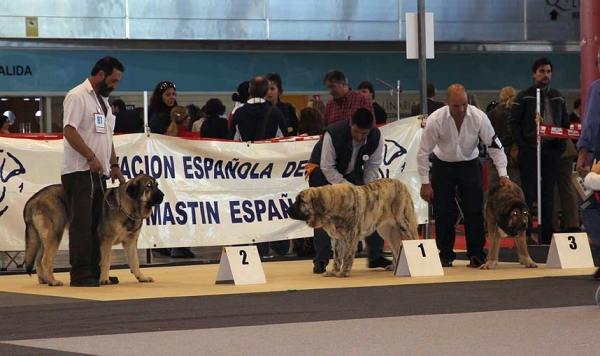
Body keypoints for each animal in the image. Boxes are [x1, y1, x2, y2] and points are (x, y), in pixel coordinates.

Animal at [23, 174, 164, 286]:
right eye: (149, 186)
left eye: (157, 185)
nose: (162, 195)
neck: (126, 207)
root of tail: (33, 200)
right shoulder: (107, 241)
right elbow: (106, 262)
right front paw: (104, 279)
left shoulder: (130, 242)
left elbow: (135, 262)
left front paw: (142, 277)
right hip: (54, 234)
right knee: (46, 259)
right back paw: (52, 281)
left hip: (42, 238)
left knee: (38, 259)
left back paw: (44, 280)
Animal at [286, 179, 418, 276]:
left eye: (301, 201)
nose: (287, 210)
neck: (332, 204)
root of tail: (402, 184)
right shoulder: (338, 238)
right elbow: (337, 257)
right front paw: (333, 272)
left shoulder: (351, 235)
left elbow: (347, 255)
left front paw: (344, 272)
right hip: (387, 232)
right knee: (395, 250)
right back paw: (394, 266)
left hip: (404, 224)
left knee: (414, 240)